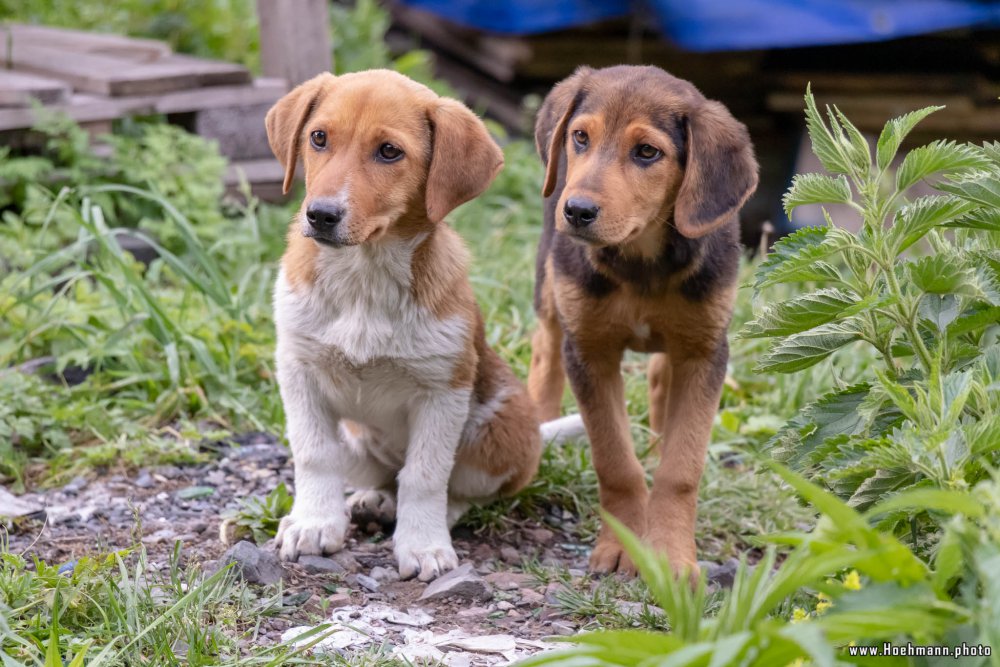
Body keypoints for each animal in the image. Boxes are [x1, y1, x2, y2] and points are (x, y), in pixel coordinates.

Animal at [266, 70, 548, 580]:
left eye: (389, 152)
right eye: (319, 138)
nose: (320, 214)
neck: (365, 278)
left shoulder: (443, 390)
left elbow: (426, 475)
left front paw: (422, 546)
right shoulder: (298, 369)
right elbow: (315, 454)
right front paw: (314, 522)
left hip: (499, 435)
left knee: (457, 489)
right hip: (357, 441)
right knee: (382, 475)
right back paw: (372, 500)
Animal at [532, 66, 756, 580]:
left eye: (647, 152)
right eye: (580, 137)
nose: (576, 211)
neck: (642, 262)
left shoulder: (705, 352)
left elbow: (681, 468)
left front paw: (672, 553)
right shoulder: (588, 351)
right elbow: (615, 462)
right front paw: (622, 547)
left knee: (659, 378)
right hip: (550, 283)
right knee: (545, 350)